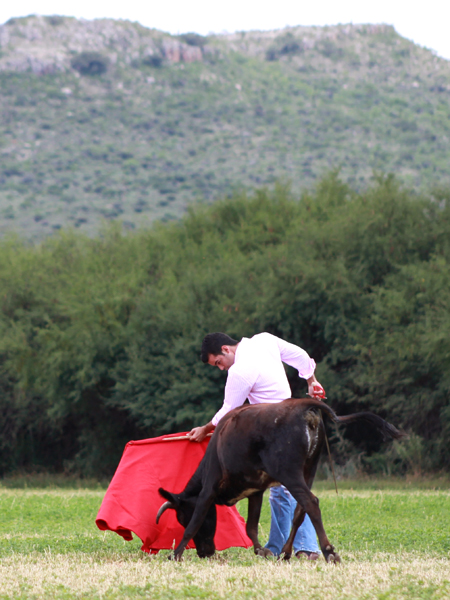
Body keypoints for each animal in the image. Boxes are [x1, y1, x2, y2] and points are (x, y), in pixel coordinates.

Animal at [156, 398, 402, 564]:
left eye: (182, 518)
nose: (204, 552)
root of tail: (303, 405)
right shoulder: (255, 490)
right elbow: (251, 526)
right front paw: (261, 551)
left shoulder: (209, 486)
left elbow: (198, 521)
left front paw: (175, 554)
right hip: (309, 469)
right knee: (300, 510)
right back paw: (284, 552)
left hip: (289, 472)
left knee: (311, 502)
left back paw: (328, 552)